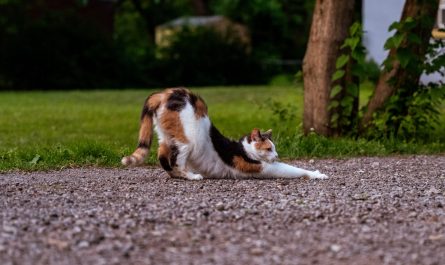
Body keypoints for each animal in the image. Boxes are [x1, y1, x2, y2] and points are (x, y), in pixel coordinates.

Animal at [121, 86, 326, 179]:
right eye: (269, 149)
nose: (276, 156)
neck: (244, 149)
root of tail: (165, 93)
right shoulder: (264, 168)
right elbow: (294, 169)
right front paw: (318, 174)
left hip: (165, 137)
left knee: (162, 157)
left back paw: (176, 175)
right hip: (187, 140)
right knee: (176, 160)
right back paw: (191, 176)